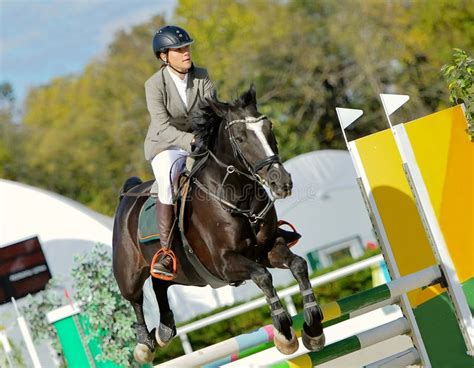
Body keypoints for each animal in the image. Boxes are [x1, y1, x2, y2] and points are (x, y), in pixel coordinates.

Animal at [113, 85, 324, 362]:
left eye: (270, 128)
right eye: (241, 138)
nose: (281, 182)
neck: (238, 196)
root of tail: (129, 192)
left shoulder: (267, 250)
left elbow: (298, 265)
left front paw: (313, 327)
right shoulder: (224, 263)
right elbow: (263, 276)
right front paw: (284, 333)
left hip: (183, 273)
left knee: (160, 283)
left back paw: (165, 330)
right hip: (128, 272)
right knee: (135, 299)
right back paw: (144, 346)